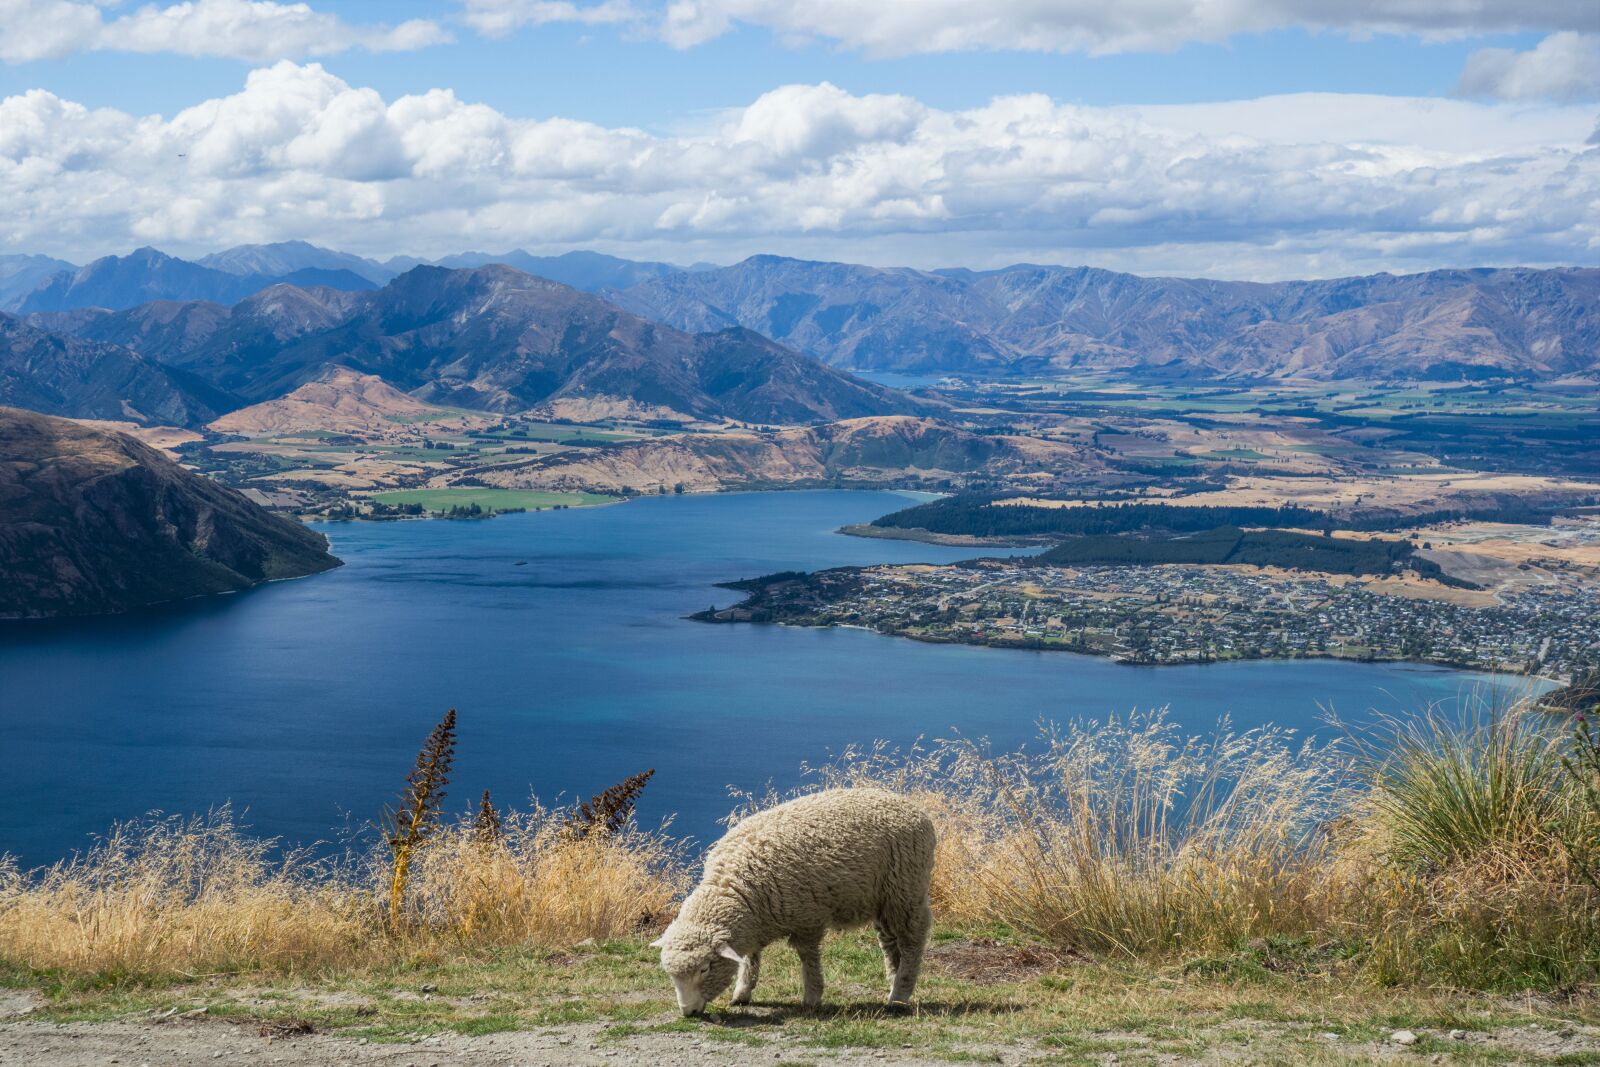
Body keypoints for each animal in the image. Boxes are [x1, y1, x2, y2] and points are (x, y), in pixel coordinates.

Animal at [646, 790, 934, 1017]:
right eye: (670, 975)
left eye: (704, 969)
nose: (688, 1012)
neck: (737, 887)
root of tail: (914, 808)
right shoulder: (755, 921)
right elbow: (750, 957)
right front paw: (742, 992)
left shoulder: (808, 918)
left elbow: (808, 958)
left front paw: (812, 997)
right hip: (883, 900)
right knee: (890, 944)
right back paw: (893, 982)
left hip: (905, 891)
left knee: (911, 942)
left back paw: (899, 996)